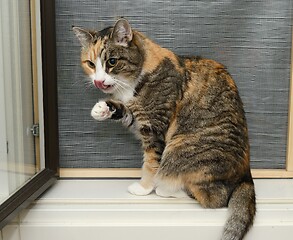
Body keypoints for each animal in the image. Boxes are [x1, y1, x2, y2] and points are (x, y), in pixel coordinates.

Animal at [73, 18, 256, 240]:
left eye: (112, 61)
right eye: (91, 64)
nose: (98, 81)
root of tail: (246, 175)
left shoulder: (154, 127)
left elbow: (151, 163)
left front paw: (144, 188)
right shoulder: (139, 119)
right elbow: (126, 113)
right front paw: (103, 109)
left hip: (180, 148)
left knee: (213, 198)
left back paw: (167, 189)